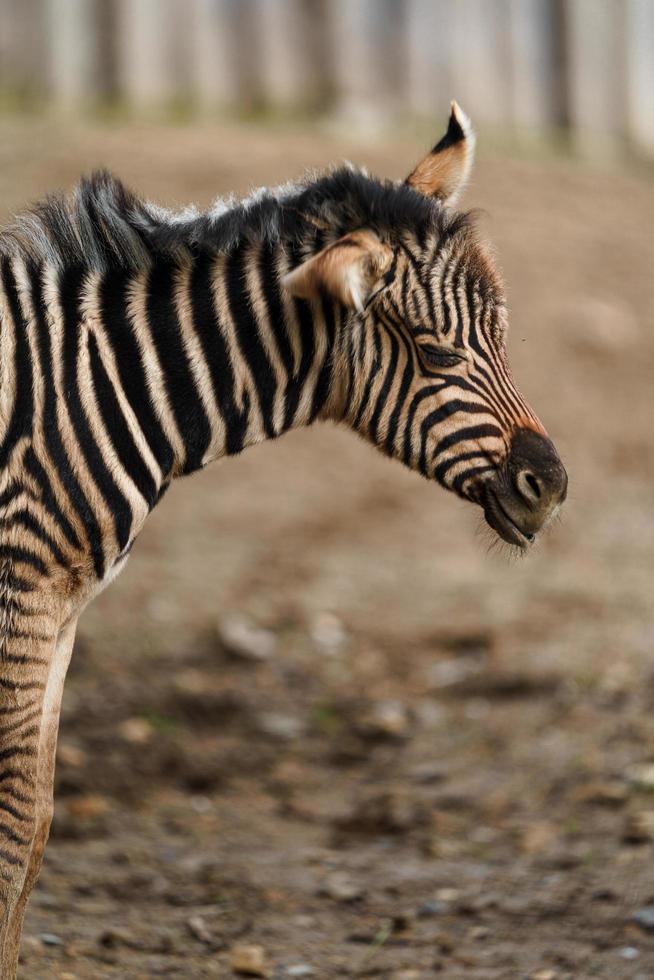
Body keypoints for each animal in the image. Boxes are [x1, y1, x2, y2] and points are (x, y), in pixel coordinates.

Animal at [0, 103, 568, 976]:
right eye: (437, 353)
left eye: (504, 337)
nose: (552, 486)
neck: (90, 387)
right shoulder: (21, 592)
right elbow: (12, 819)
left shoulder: (62, 604)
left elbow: (36, 824)